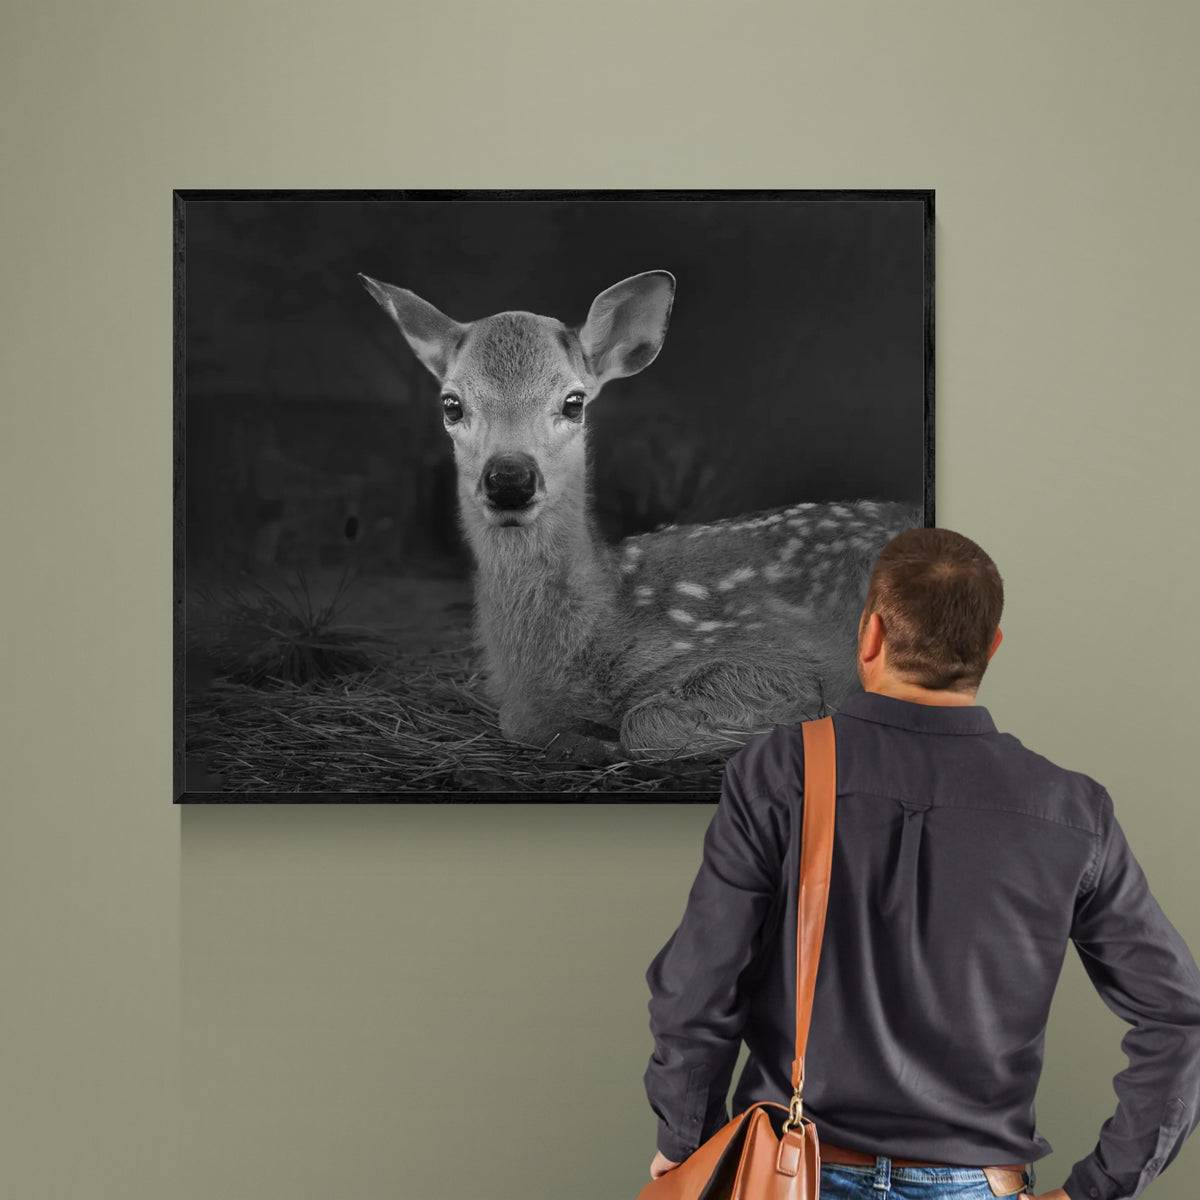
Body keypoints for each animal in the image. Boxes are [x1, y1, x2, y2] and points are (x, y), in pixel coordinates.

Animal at [358, 269, 920, 761]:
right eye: (451, 404)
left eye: (574, 401)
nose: (510, 479)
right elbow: (519, 725)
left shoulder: (785, 653)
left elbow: (644, 724)